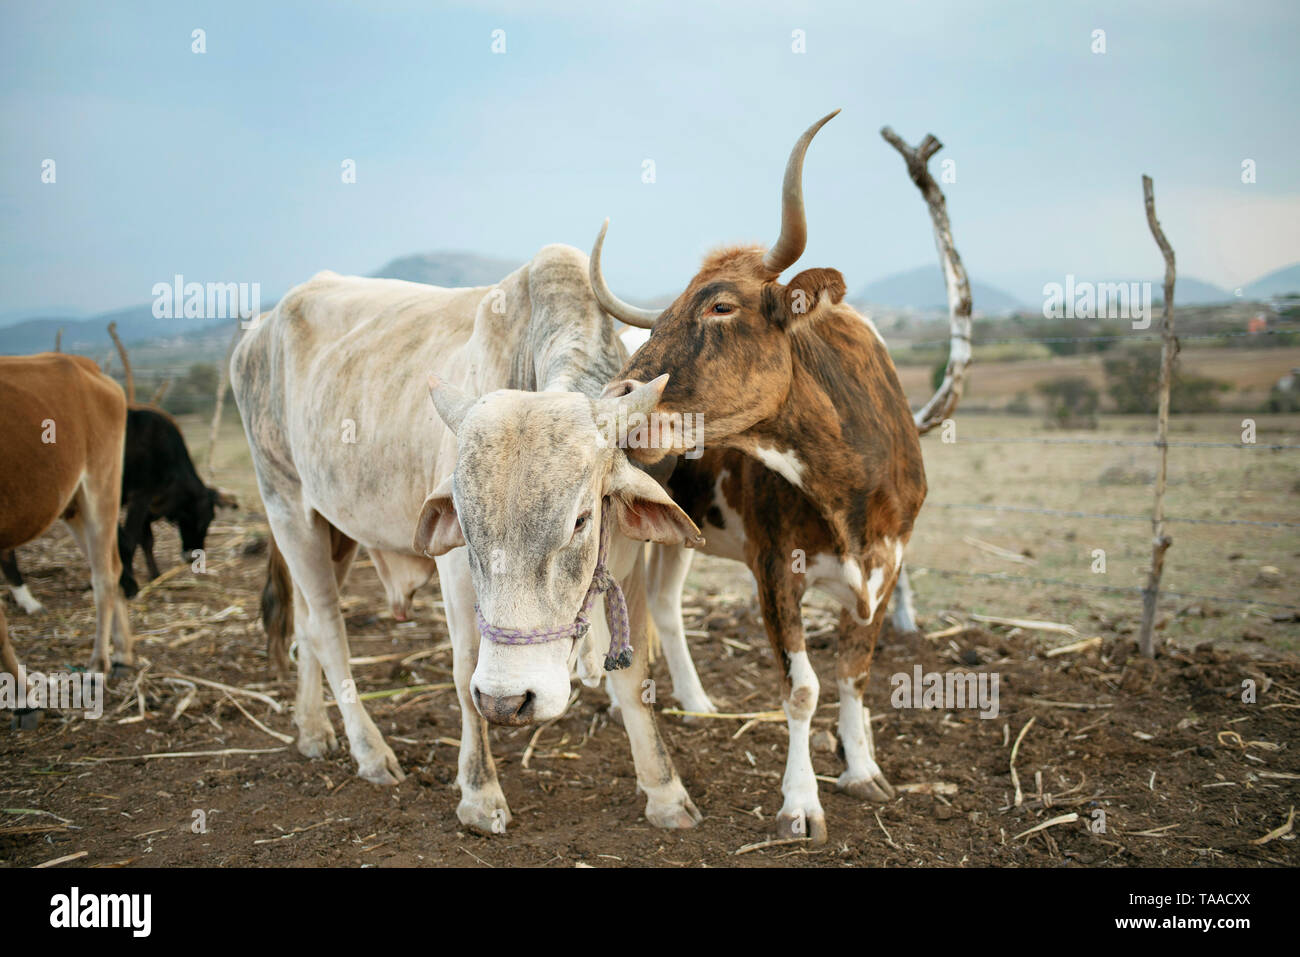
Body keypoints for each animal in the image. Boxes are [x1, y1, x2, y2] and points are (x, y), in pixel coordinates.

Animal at [0, 356, 135, 722]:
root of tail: (83, 364)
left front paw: (23, 699)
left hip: (100, 485)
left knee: (104, 575)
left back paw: (100, 663)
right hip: (72, 505)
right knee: (114, 566)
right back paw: (122, 655)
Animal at [590, 113, 925, 842]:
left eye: (720, 306)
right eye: (662, 314)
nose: (615, 397)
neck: (847, 485)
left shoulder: (886, 567)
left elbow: (855, 673)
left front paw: (862, 769)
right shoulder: (775, 565)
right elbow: (802, 687)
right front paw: (801, 802)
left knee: (662, 604)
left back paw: (695, 699)